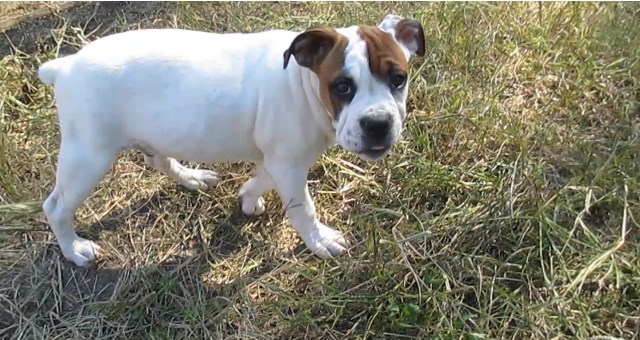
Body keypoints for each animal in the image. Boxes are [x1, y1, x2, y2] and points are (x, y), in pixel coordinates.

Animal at [38, 14, 424, 266]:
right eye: (342, 87)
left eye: (399, 79)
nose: (377, 123)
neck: (302, 84)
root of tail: (65, 65)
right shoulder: (289, 165)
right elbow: (303, 209)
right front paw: (320, 240)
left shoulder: (279, 158)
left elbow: (262, 178)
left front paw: (248, 198)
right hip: (88, 155)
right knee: (56, 206)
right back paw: (74, 249)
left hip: (154, 132)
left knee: (157, 158)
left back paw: (192, 177)